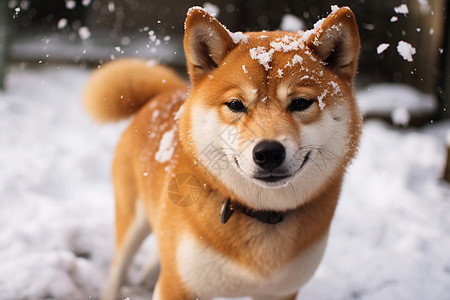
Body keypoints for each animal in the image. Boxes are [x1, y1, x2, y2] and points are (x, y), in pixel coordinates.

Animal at [84, 5, 362, 300]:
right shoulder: (178, 286)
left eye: (300, 103)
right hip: (131, 218)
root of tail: (160, 95)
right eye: (236, 105)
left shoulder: (280, 291)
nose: (269, 152)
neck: (260, 212)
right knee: (118, 266)